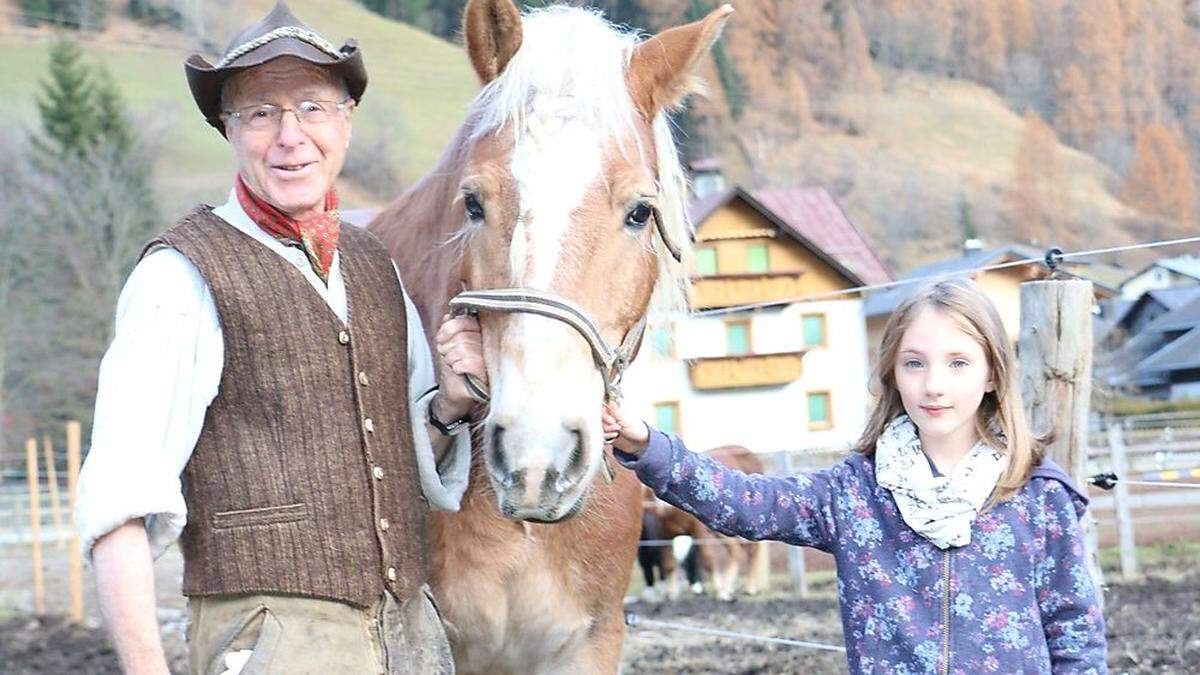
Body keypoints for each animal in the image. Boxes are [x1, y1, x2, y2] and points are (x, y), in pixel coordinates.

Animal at [643, 446, 772, 598]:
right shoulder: (664, 534)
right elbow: (668, 564)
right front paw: (671, 593)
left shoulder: (699, 531)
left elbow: (707, 558)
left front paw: (719, 590)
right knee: (736, 551)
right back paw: (728, 586)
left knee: (751, 550)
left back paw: (748, 587)